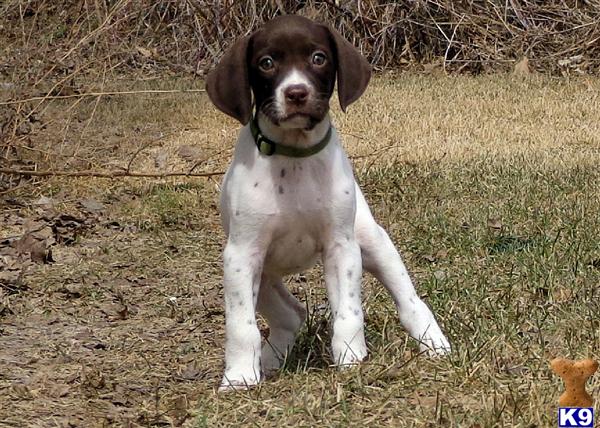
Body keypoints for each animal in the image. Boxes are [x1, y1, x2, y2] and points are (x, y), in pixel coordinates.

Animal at [206, 15, 450, 392]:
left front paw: (351, 360)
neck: (294, 158)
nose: (296, 93)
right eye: (266, 62)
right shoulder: (241, 255)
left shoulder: (341, 247)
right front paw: (239, 377)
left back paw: (433, 343)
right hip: (263, 276)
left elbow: (349, 313)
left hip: (372, 241)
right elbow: (241, 327)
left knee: (410, 301)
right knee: (291, 316)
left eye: (318, 58)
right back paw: (269, 361)